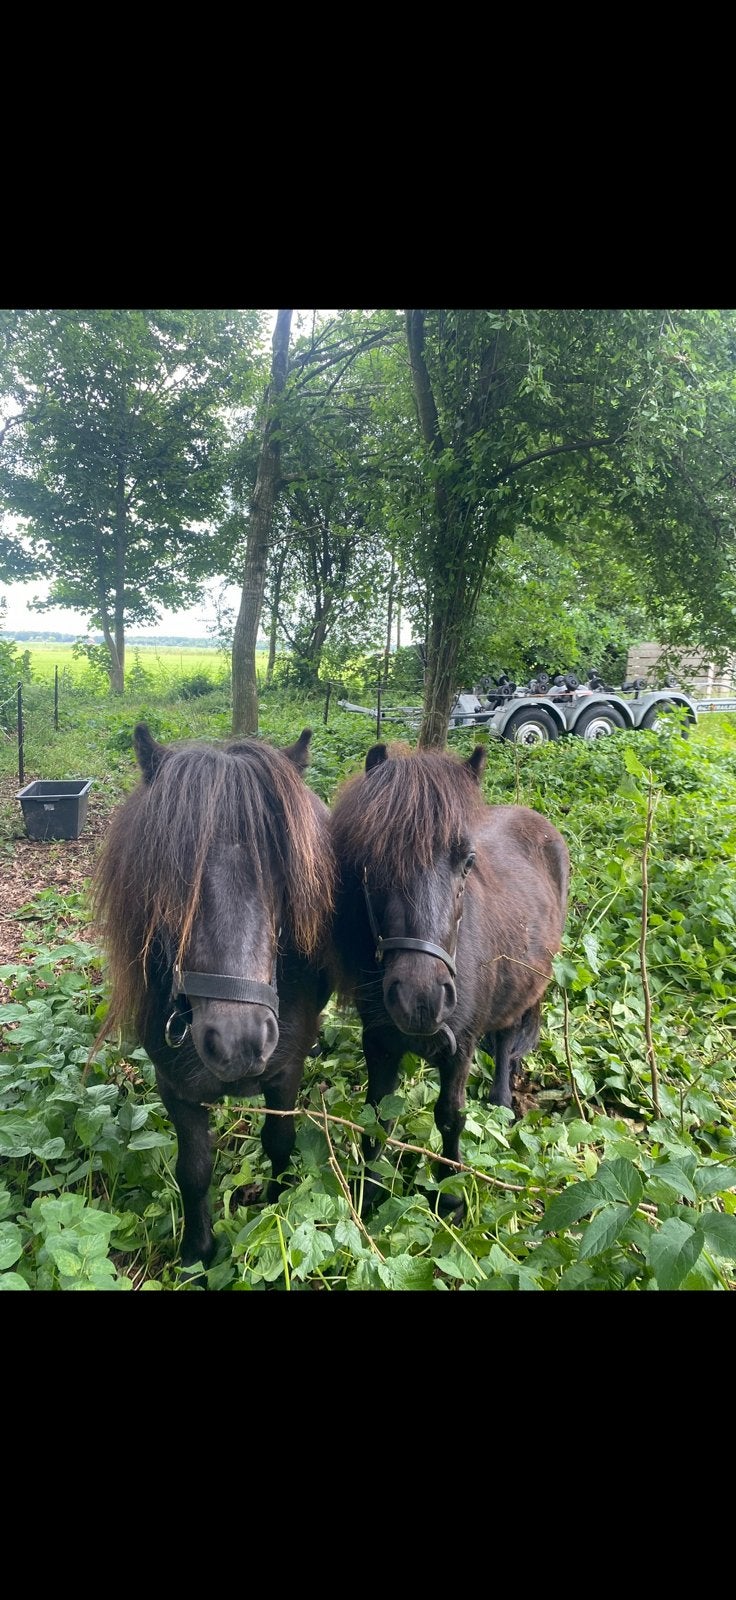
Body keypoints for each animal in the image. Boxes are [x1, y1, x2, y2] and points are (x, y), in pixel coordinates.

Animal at [92, 723, 334, 1268]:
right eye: (172, 879)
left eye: (283, 877)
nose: (238, 1041)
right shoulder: (175, 1087)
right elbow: (194, 1169)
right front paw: (197, 1252)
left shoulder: (284, 1074)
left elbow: (279, 1142)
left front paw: (275, 1204)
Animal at [329, 741, 569, 1214]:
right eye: (372, 860)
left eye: (468, 862)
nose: (421, 1000)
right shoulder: (378, 1042)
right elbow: (377, 1115)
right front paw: (370, 1194)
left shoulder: (461, 1047)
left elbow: (450, 1116)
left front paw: (451, 1194)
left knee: (507, 1036)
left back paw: (501, 1101)